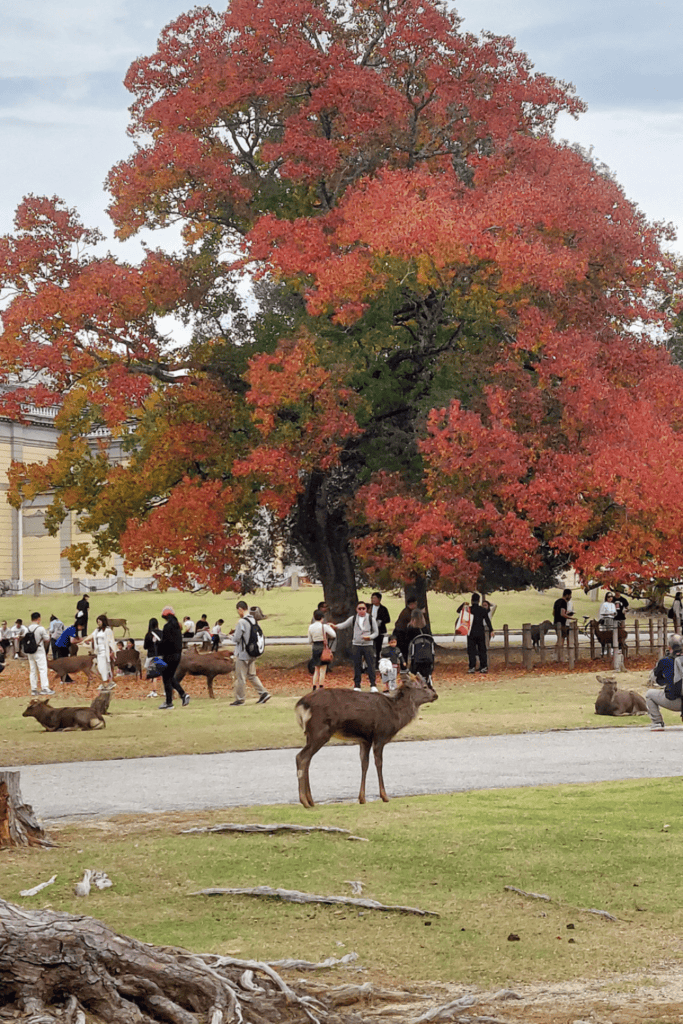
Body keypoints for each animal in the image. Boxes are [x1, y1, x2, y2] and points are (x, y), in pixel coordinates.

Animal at [294, 671, 438, 806]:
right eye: (425, 686)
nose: (435, 695)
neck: (395, 714)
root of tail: (301, 704)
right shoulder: (380, 735)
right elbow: (379, 763)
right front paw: (384, 796)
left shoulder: (365, 739)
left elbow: (364, 764)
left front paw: (362, 798)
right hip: (320, 731)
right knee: (301, 757)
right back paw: (304, 801)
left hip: (310, 734)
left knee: (307, 759)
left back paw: (311, 800)